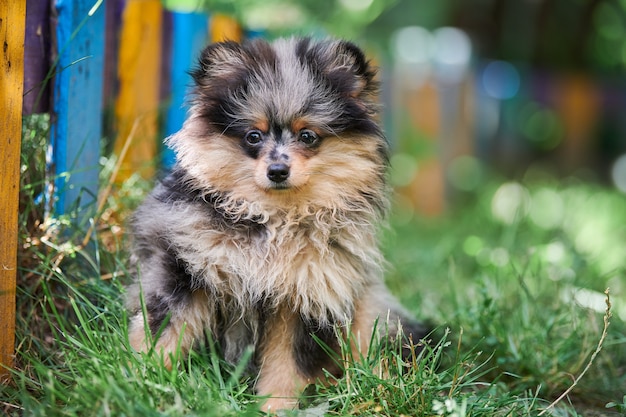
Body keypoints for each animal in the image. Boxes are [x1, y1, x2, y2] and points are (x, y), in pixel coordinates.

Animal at [128, 35, 428, 410]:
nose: (277, 170)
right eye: (253, 136)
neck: (272, 219)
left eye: (308, 136)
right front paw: (143, 380)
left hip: (370, 314)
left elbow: (287, 366)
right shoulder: (187, 268)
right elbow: (164, 332)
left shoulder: (303, 296)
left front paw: (274, 408)